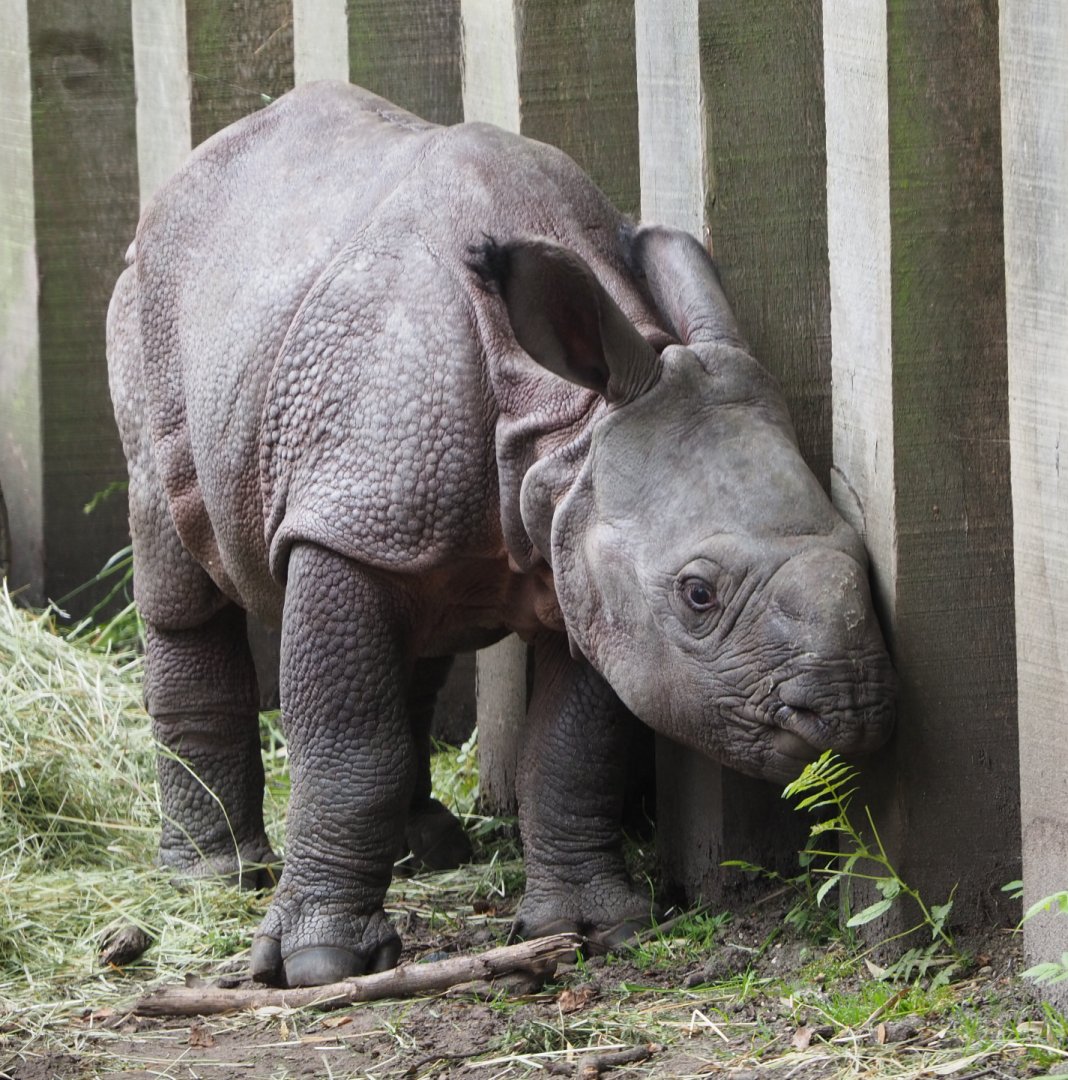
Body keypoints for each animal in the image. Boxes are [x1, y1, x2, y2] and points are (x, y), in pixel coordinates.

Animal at [106, 81, 895, 988]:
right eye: (699, 593)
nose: (851, 708)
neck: (567, 425)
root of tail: (196, 164)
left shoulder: (581, 550)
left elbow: (572, 750)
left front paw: (593, 928)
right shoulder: (349, 522)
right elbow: (346, 746)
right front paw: (319, 964)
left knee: (415, 629)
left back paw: (425, 850)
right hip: (154, 310)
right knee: (176, 561)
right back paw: (218, 874)